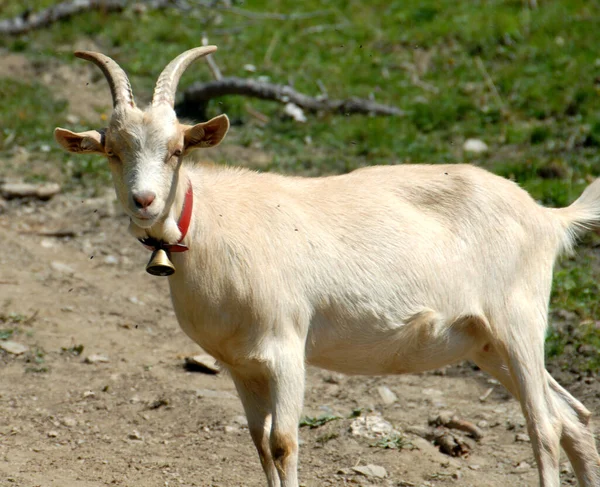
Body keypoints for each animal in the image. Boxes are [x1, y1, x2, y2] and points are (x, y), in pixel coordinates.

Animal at [54, 46, 596, 487]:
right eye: (112, 151)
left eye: (177, 150)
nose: (144, 201)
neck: (213, 223)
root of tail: (548, 217)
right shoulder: (241, 365)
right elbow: (259, 444)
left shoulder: (286, 348)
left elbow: (283, 443)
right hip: (483, 341)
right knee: (573, 418)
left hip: (518, 320)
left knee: (545, 426)